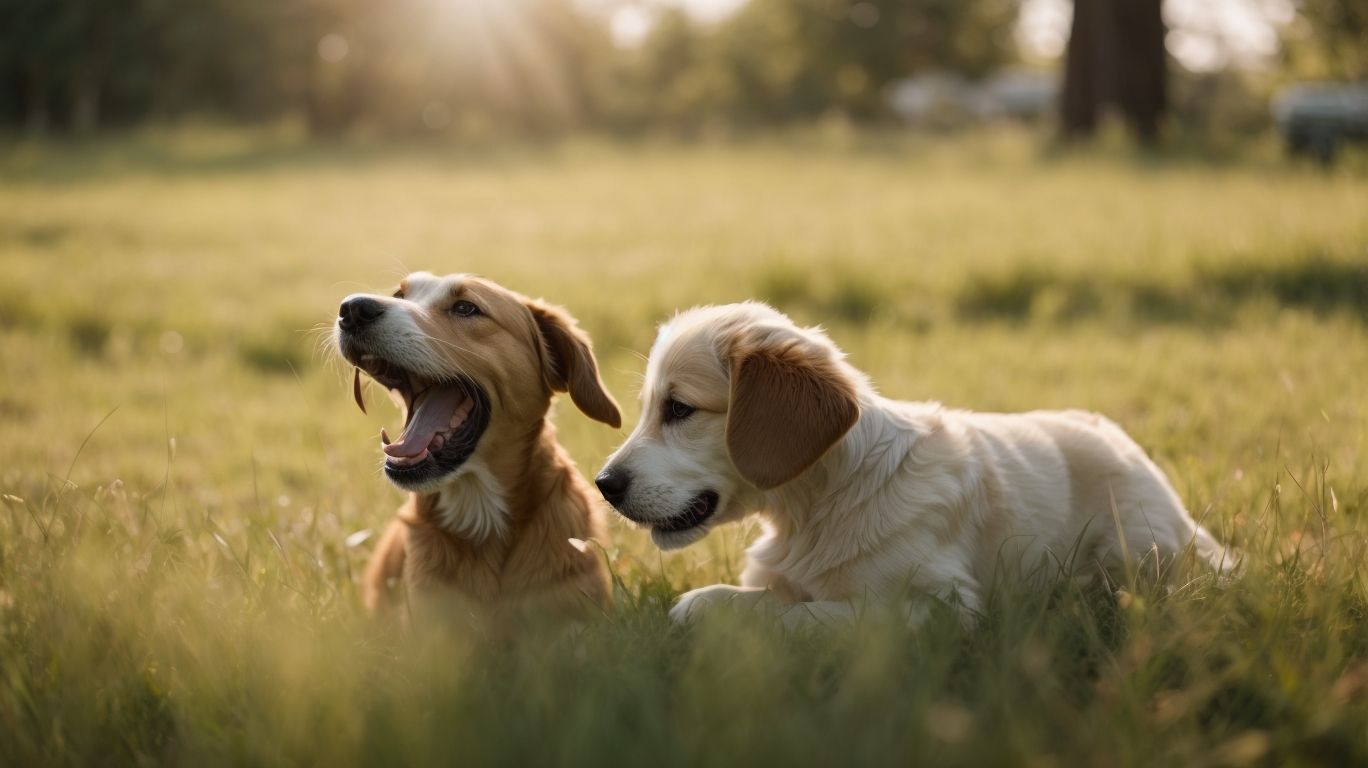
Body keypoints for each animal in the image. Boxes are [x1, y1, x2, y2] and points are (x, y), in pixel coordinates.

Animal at [593, 302, 1236, 626]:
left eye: (679, 408)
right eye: (648, 408)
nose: (603, 485)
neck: (817, 507)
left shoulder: (938, 604)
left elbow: (810, 615)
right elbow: (727, 602)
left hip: (1135, 552)